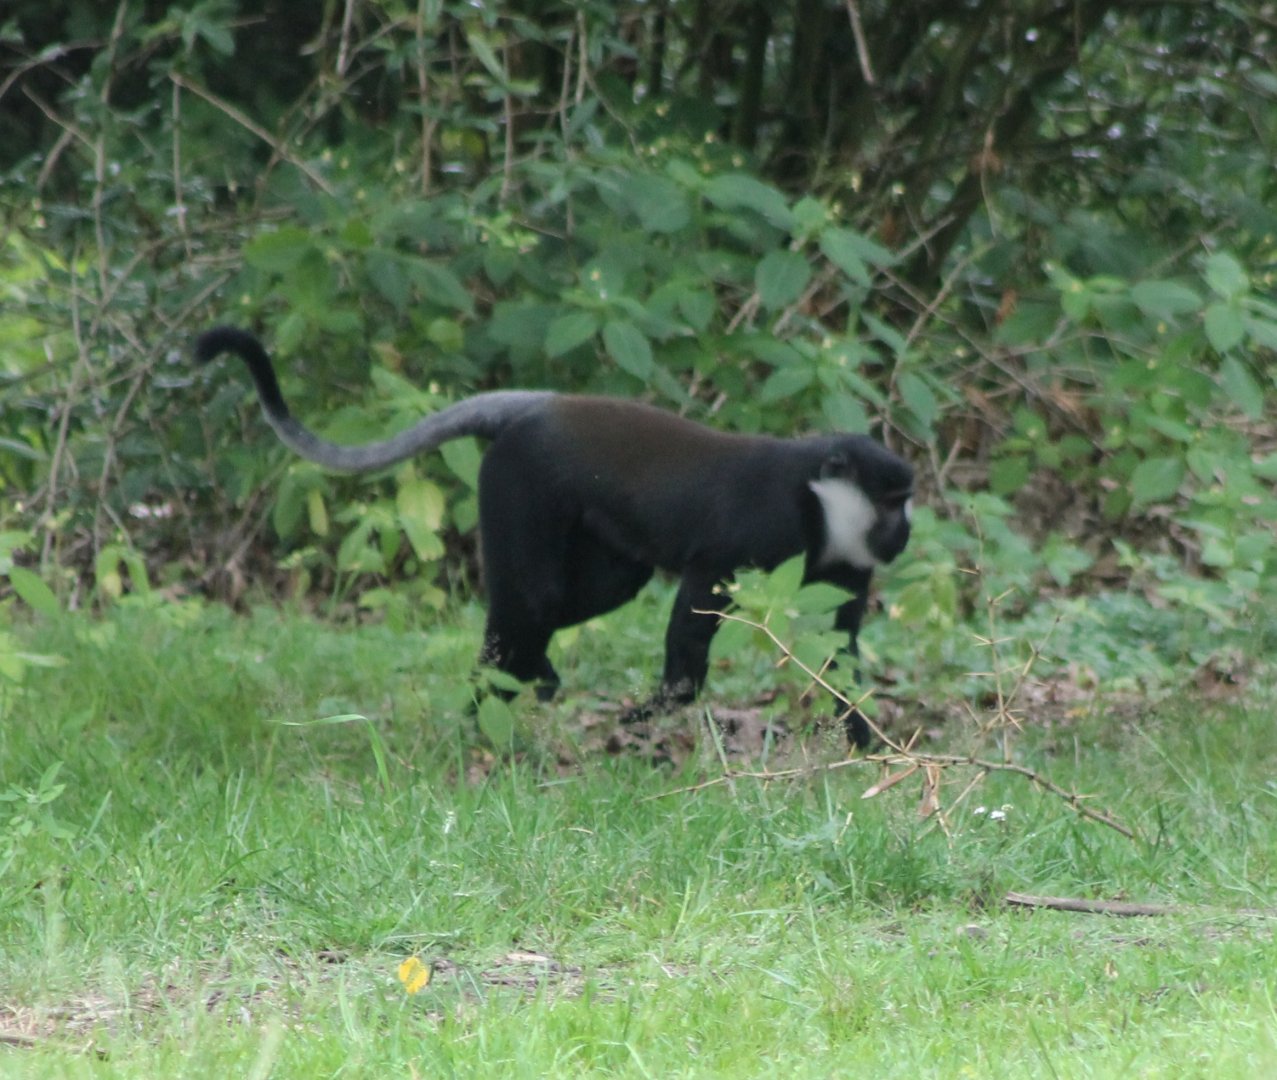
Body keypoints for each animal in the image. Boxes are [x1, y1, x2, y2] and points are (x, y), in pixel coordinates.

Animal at [194, 326, 913, 747]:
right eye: (892, 503)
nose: (904, 532)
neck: (816, 503)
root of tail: (537, 407)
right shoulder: (755, 530)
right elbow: (695, 613)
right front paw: (649, 713)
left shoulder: (845, 570)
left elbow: (839, 651)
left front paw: (862, 743)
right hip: (516, 487)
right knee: (529, 600)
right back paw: (484, 715)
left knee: (596, 591)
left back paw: (526, 683)